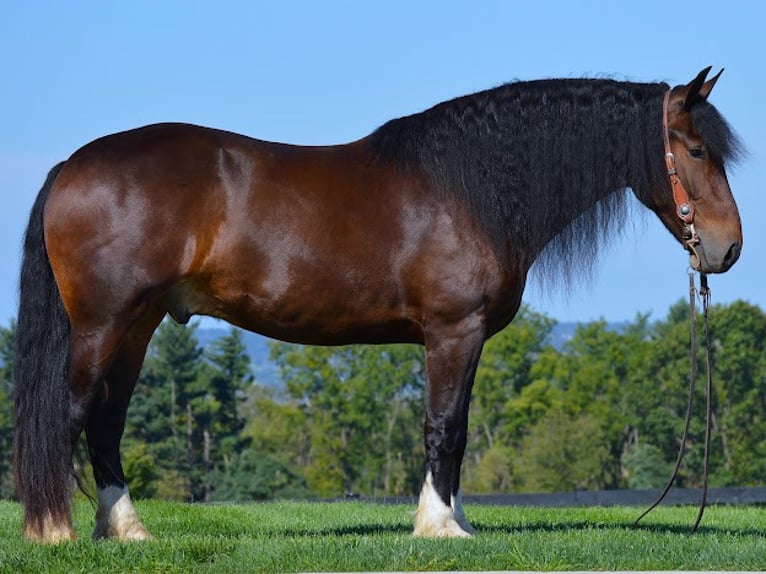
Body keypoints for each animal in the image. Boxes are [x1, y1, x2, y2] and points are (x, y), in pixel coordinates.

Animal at [13, 67, 744, 544]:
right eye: (697, 149)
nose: (729, 248)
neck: (472, 191)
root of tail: (71, 166)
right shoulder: (453, 333)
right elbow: (444, 427)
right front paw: (441, 527)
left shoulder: (464, 340)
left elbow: (459, 429)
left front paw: (453, 519)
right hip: (103, 325)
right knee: (70, 414)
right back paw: (53, 532)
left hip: (138, 326)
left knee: (106, 422)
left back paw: (126, 530)